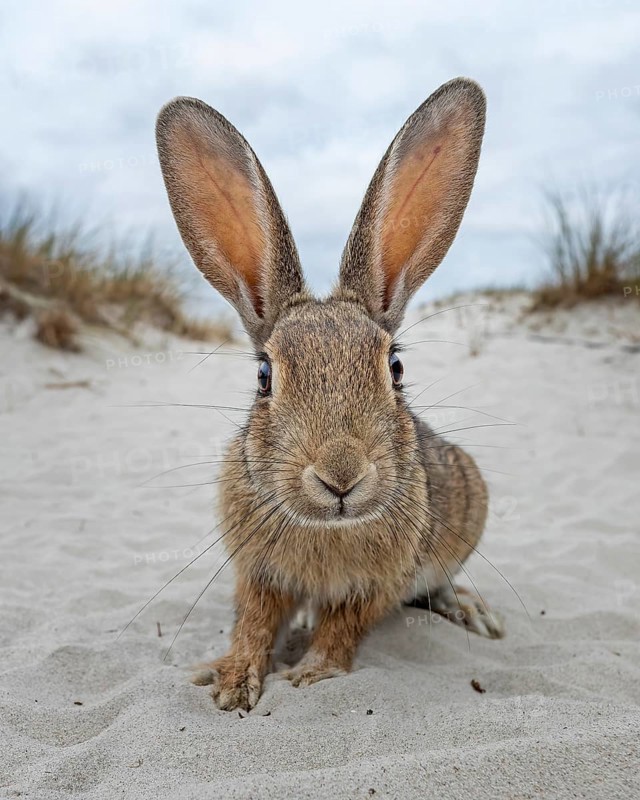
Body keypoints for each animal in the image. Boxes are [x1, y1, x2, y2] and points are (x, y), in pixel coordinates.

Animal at [156, 76, 504, 712]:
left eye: (395, 367)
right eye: (264, 376)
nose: (341, 475)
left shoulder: (373, 587)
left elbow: (343, 628)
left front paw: (311, 675)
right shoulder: (258, 573)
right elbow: (253, 623)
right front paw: (229, 681)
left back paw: (471, 611)